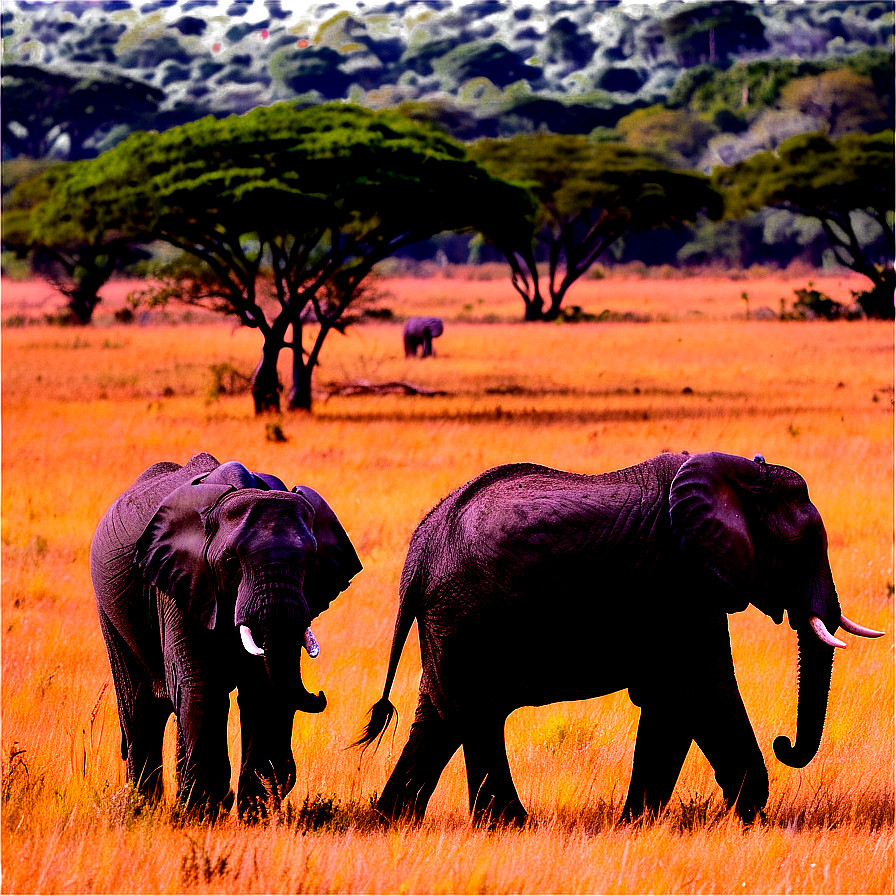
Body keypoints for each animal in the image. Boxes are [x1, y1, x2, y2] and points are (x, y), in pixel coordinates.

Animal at [88, 456, 360, 820]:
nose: (319, 695)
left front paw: (255, 813)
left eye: (309, 562)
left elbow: (263, 688)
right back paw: (143, 811)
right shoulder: (181, 581)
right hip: (111, 609)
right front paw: (203, 814)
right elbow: (202, 684)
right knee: (139, 707)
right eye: (230, 562)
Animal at [356, 456, 880, 824]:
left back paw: (394, 821)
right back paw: (512, 825)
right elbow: (701, 689)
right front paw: (751, 817)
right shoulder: (678, 581)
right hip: (467, 617)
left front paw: (636, 823)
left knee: (440, 717)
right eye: (804, 545)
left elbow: (669, 704)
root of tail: (420, 552)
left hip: (449, 623)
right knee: (477, 716)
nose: (784, 742)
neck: (744, 477)